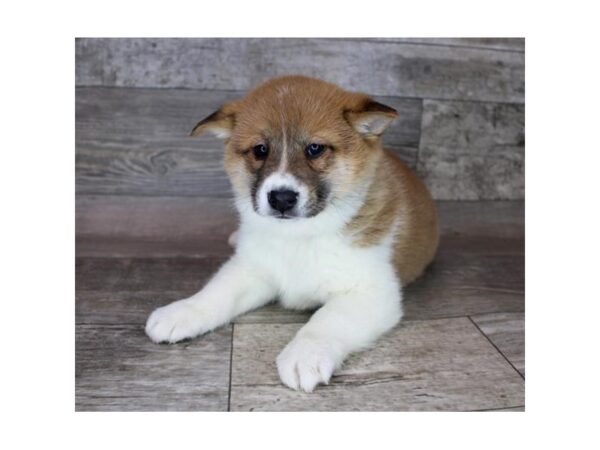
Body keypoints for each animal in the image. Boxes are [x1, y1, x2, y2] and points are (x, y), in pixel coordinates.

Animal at [145, 75, 436, 392]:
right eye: (260, 150)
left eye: (315, 149)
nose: (281, 198)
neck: (300, 237)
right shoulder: (253, 269)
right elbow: (216, 292)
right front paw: (182, 311)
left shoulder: (371, 291)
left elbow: (327, 319)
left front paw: (305, 355)